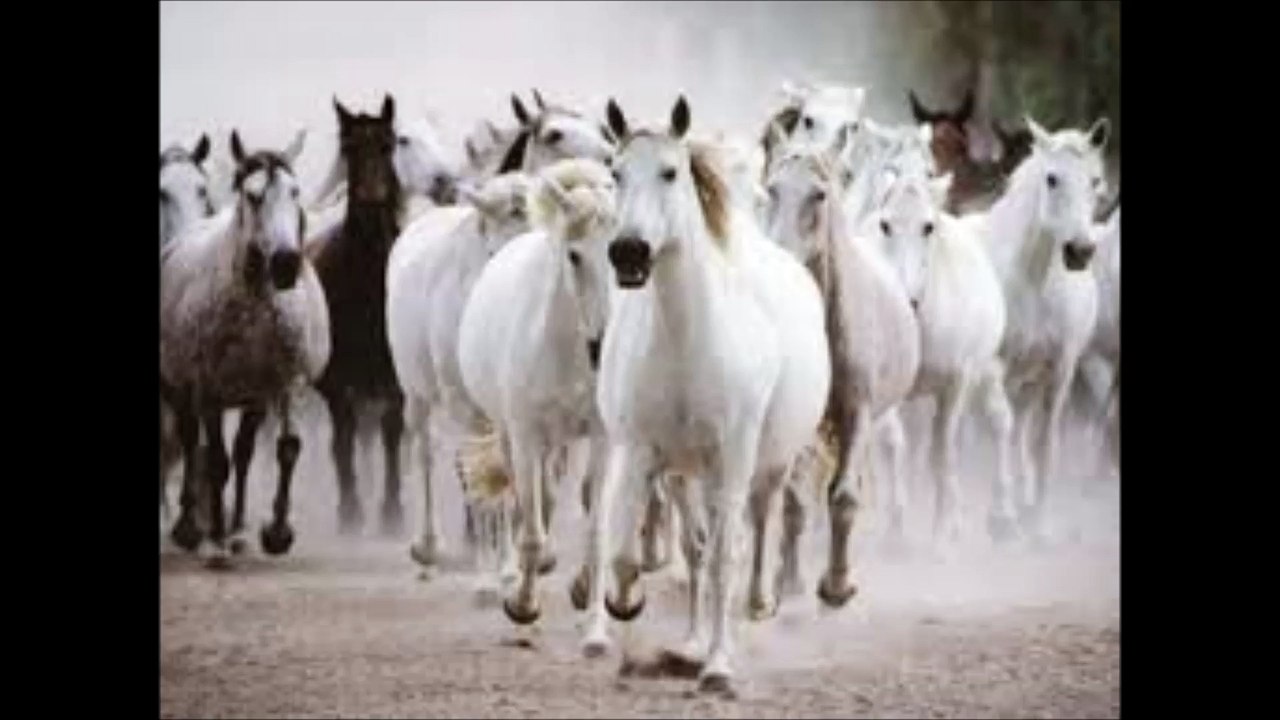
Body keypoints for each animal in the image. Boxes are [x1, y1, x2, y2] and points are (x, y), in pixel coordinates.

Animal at [160, 130, 330, 567]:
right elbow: (214, 460)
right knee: (191, 441)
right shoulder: (208, 392)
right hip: (181, 387)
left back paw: (236, 529)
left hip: (252, 397)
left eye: (294, 192)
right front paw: (216, 541)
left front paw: (276, 533)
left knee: (243, 452)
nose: (286, 263)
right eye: (253, 196)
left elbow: (285, 449)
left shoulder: (284, 385)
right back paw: (191, 528)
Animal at [454, 158, 618, 624]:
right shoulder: (526, 433)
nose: (603, 345)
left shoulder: (602, 435)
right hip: (515, 433)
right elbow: (529, 525)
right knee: (526, 494)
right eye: (575, 255)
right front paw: (523, 604)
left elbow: (596, 524)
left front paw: (589, 599)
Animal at [582, 96, 830, 694]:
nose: (628, 252)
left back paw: (754, 609)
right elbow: (628, 552)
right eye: (615, 173)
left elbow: (724, 559)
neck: (686, 341)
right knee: (696, 546)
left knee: (756, 526)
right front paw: (624, 603)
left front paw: (719, 668)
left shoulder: (734, 455)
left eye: (670, 172)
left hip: (764, 461)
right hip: (684, 473)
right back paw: (692, 642)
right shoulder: (640, 451)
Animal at [759, 130, 920, 616]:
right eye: (772, 189)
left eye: (819, 194)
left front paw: (836, 586)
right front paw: (789, 581)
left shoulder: (858, 412)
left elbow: (844, 496)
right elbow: (793, 500)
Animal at [963, 115, 1109, 541]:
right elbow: (1001, 425)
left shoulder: (1061, 368)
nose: (1080, 251)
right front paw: (1002, 517)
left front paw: (1040, 523)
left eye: (1095, 180)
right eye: (1052, 178)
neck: (1032, 280)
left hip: (1028, 379)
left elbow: (1045, 441)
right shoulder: (992, 367)